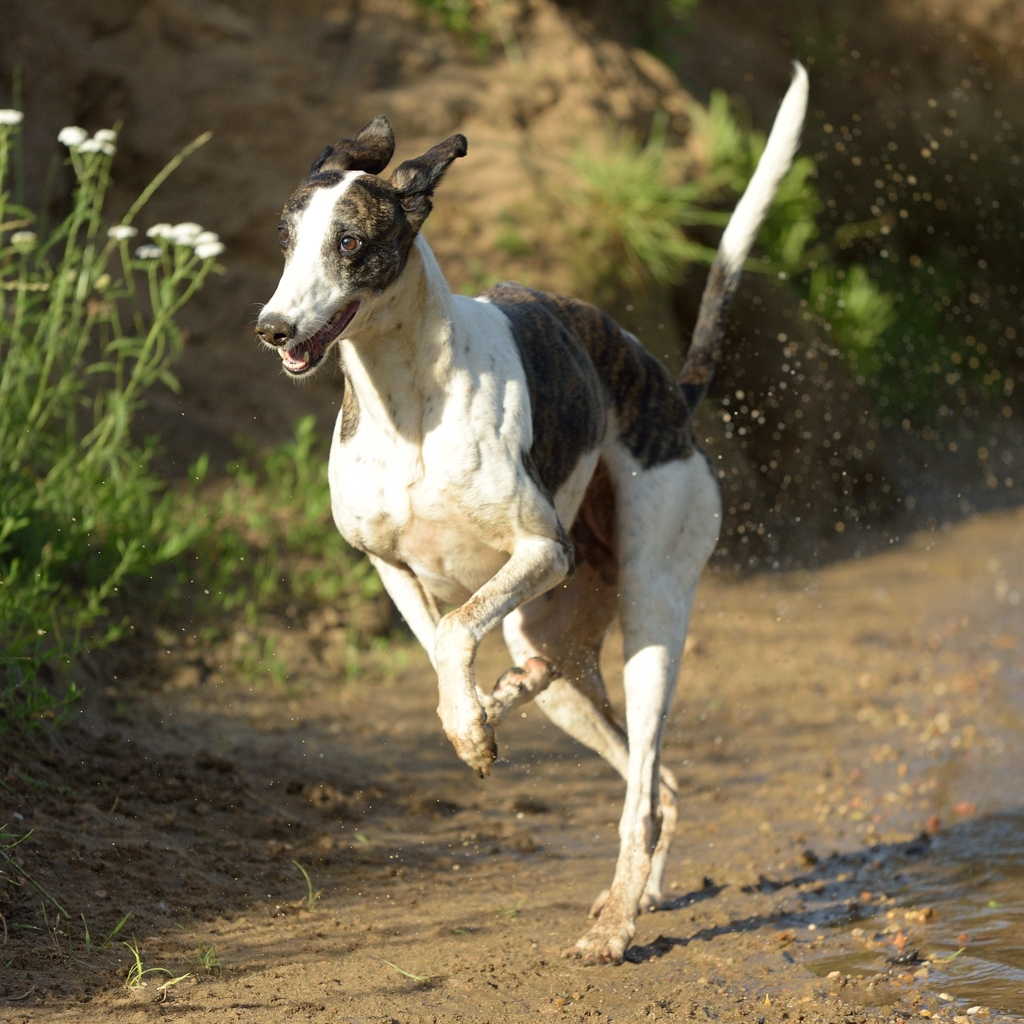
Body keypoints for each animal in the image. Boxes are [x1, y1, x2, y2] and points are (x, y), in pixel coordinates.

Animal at [253, 68, 806, 962]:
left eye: (351, 244)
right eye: (283, 236)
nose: (273, 330)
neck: (407, 403)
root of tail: (673, 392)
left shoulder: (543, 551)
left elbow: (452, 633)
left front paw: (473, 730)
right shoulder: (390, 566)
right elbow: (438, 644)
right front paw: (470, 722)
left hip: (650, 613)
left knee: (642, 788)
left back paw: (614, 927)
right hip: (555, 643)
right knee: (647, 774)